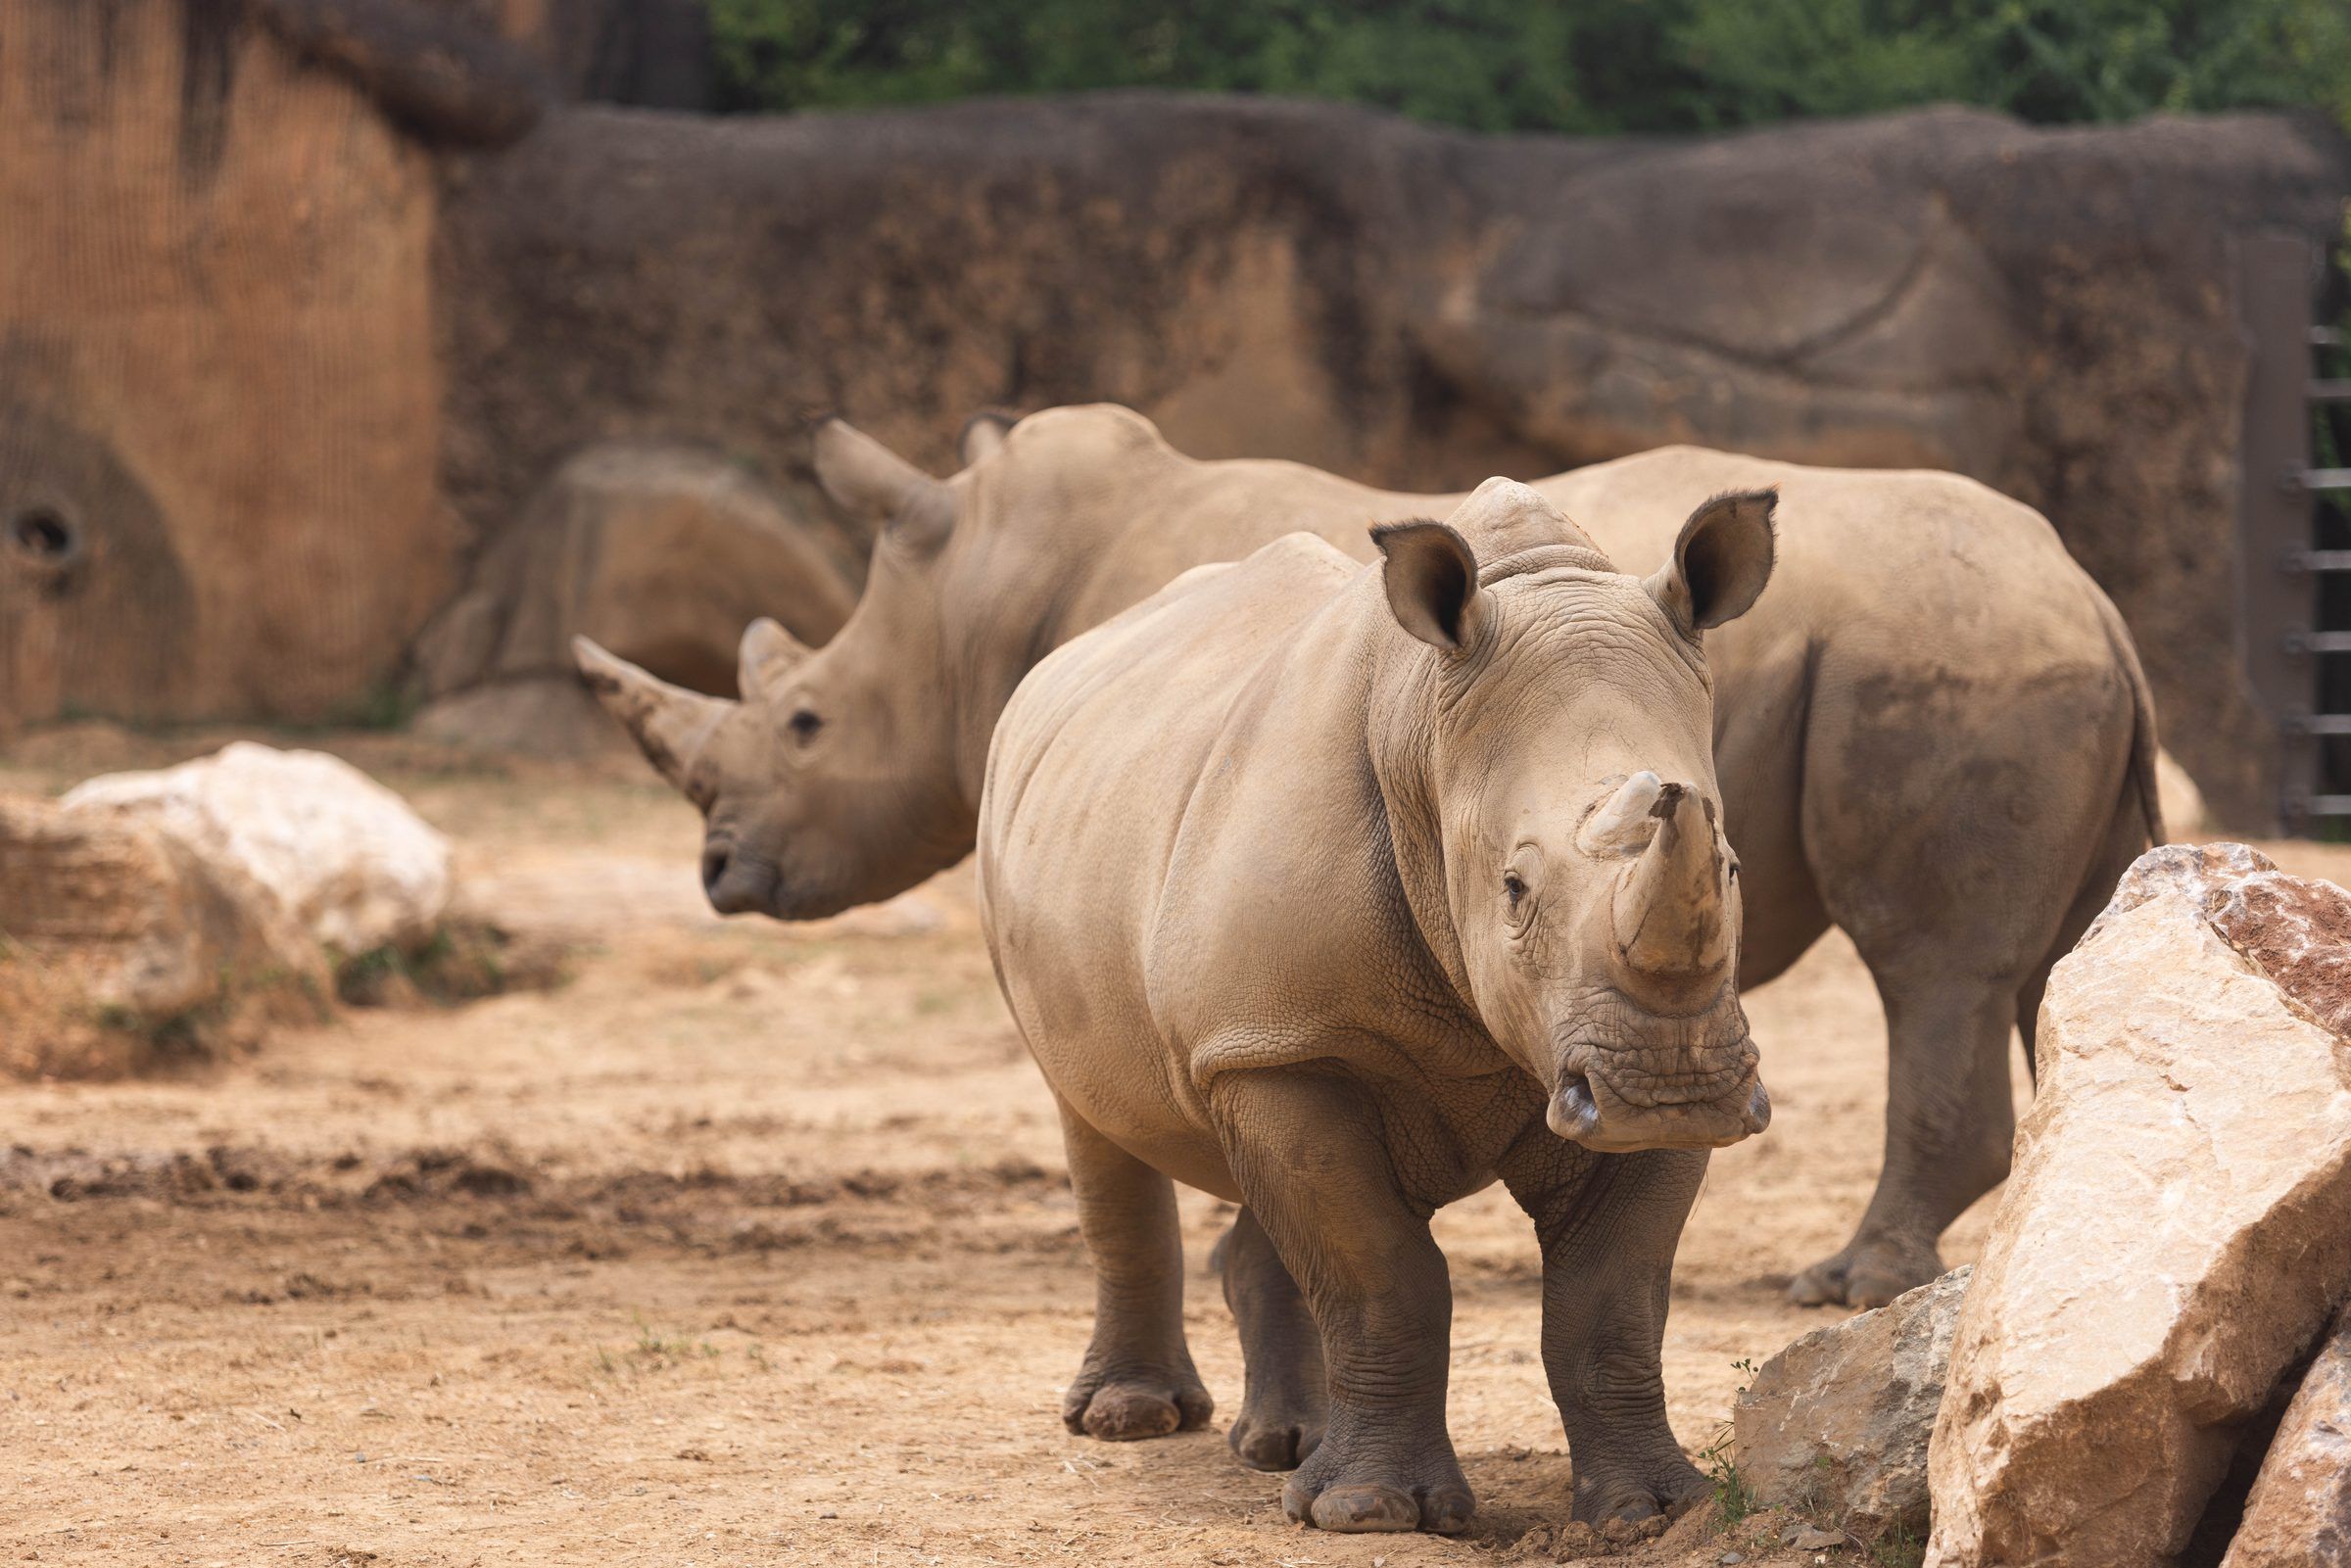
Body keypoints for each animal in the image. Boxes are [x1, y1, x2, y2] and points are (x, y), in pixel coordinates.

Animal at [576, 404, 2159, 1311]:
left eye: (804, 723)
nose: (720, 869)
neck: (978, 600)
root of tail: (2091, 590)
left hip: (1951, 654)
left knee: (1931, 966)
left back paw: (1835, 1287)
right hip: (2010, 650)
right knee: (2057, 955)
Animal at [978, 478, 1776, 1532]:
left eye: (1730, 866)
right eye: (1514, 887)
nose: (1668, 1090)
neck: (1424, 735)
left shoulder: (1634, 1045)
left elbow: (1612, 1298)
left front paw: (1655, 1510)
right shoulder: (1284, 1044)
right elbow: (1380, 1273)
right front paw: (1371, 1511)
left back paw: (1284, 1446)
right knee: (1094, 1114)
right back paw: (1135, 1420)